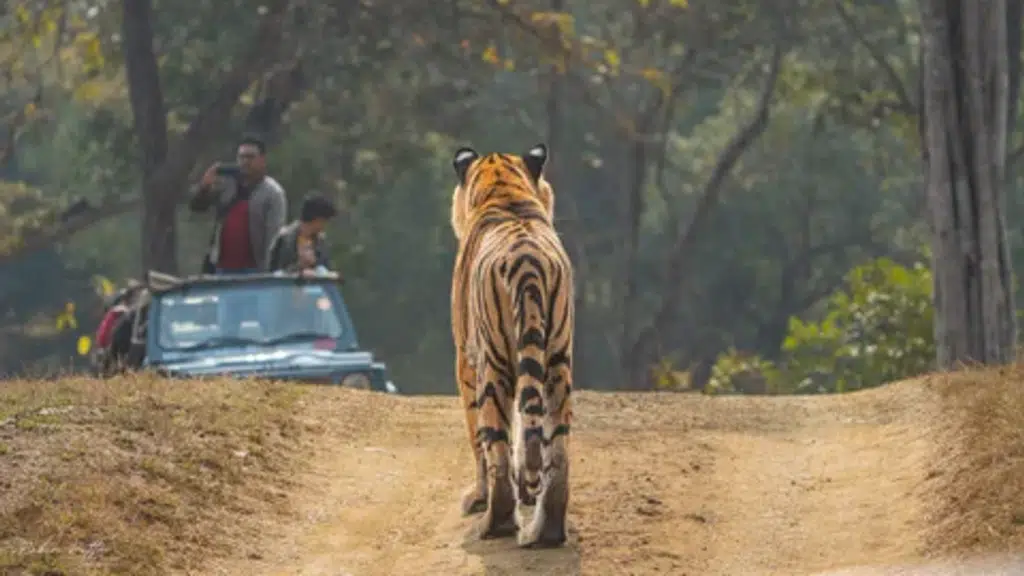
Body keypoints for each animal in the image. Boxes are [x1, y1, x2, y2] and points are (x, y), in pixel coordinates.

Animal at [448, 142, 575, 548]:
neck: (504, 192)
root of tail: (528, 262)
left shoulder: (465, 358)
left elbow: (477, 435)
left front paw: (477, 498)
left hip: (493, 364)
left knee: (496, 447)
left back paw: (494, 523)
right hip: (557, 361)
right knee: (557, 448)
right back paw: (547, 531)